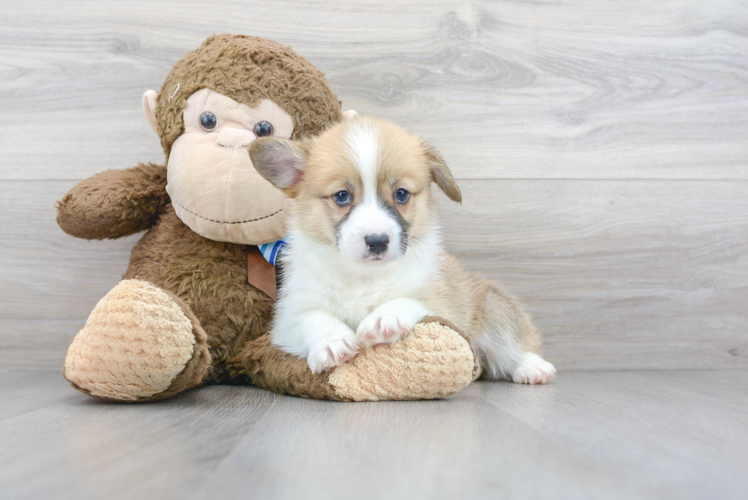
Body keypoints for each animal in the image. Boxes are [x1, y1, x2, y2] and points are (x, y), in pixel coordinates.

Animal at [251, 116, 556, 382]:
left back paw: (533, 368)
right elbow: (313, 318)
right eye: (342, 196)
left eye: (401, 194)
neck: (363, 276)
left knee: (514, 346)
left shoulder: (441, 304)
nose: (377, 241)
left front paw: (383, 318)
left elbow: (408, 300)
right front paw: (332, 341)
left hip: (494, 309)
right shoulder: (288, 318)